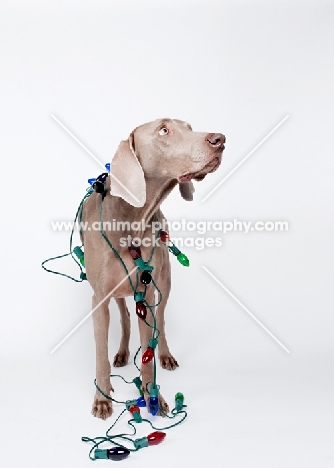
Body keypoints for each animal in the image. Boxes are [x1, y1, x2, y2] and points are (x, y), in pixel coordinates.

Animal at [81, 119, 224, 418]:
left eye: (189, 127)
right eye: (163, 130)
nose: (220, 139)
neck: (132, 219)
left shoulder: (146, 291)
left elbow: (148, 351)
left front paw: (152, 398)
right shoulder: (99, 298)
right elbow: (100, 353)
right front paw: (102, 399)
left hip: (164, 279)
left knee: (162, 319)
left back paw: (165, 354)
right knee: (124, 318)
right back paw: (122, 353)